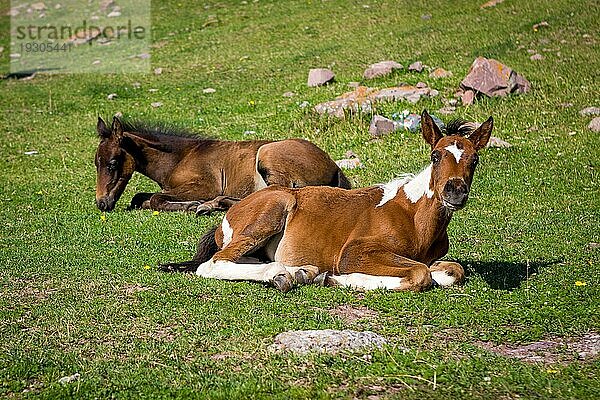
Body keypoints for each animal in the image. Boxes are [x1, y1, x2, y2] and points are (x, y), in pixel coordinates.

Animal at [161, 111, 492, 292]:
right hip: (272, 211)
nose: (455, 192)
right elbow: (420, 274)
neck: (413, 216)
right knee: (214, 264)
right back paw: (283, 275)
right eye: (435, 156)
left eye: (474, 160)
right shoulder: (356, 252)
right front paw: (333, 278)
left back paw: (298, 272)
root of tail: (226, 219)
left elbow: (453, 270)